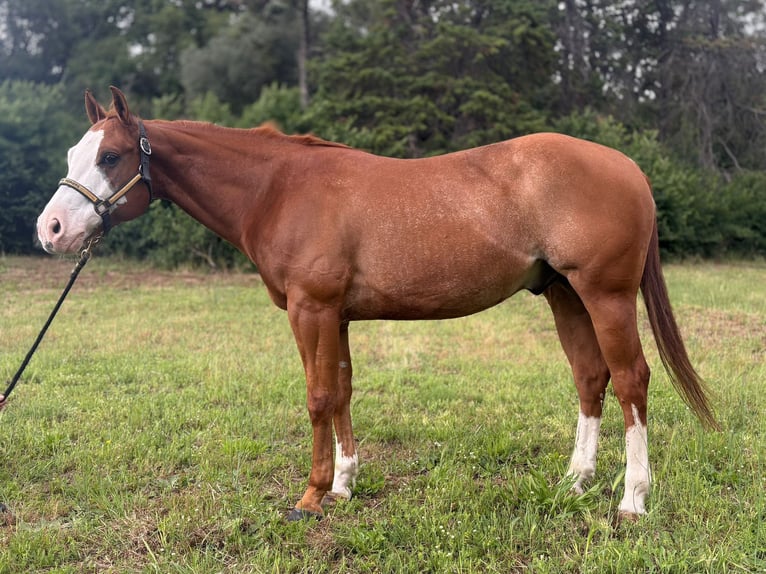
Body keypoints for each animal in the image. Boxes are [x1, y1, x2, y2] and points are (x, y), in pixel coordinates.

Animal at [36, 87, 718, 522]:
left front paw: (310, 496)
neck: (279, 189)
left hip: (605, 295)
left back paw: (632, 500)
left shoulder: (310, 310)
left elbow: (317, 396)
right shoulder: (334, 315)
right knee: (590, 377)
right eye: (73, 155)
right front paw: (344, 484)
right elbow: (341, 390)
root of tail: (627, 166)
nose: (51, 230)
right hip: (565, 294)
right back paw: (576, 482)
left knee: (631, 379)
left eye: (111, 156)